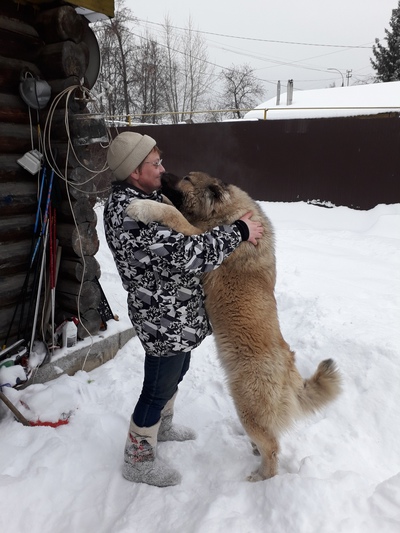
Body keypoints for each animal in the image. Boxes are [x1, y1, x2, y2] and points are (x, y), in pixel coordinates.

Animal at [126, 172, 342, 480]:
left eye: (187, 178)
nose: (163, 172)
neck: (226, 212)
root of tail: (290, 371)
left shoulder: (200, 240)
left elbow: (173, 213)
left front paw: (142, 206)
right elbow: (173, 207)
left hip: (247, 406)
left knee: (272, 447)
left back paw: (261, 476)